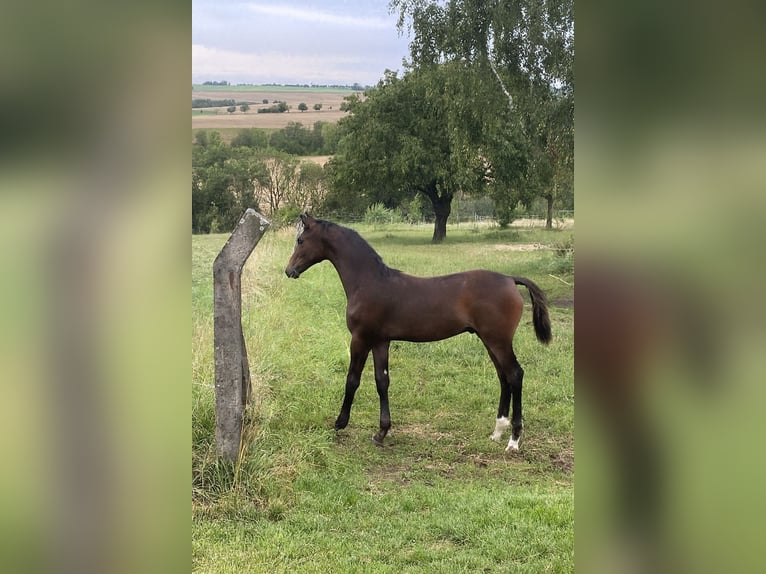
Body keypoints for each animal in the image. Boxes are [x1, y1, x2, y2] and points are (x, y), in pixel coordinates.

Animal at [285, 214, 552, 451]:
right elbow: (382, 381)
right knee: (503, 377)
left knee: (515, 375)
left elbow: (352, 380)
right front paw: (381, 432)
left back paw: (513, 440)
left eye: (300, 240)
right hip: (490, 341)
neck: (369, 281)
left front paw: (339, 424)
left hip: (498, 340)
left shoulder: (360, 338)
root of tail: (509, 279)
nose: (289, 271)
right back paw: (497, 432)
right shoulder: (381, 341)